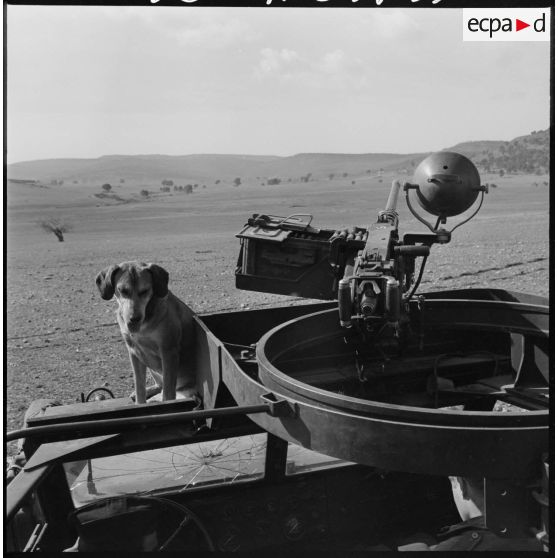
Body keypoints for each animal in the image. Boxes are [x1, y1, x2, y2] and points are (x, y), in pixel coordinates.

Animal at [96, 262, 199, 406]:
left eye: (145, 291)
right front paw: (140, 402)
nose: (134, 318)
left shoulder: (168, 352)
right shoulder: (134, 352)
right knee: (159, 385)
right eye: (122, 290)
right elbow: (139, 386)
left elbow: (168, 392)